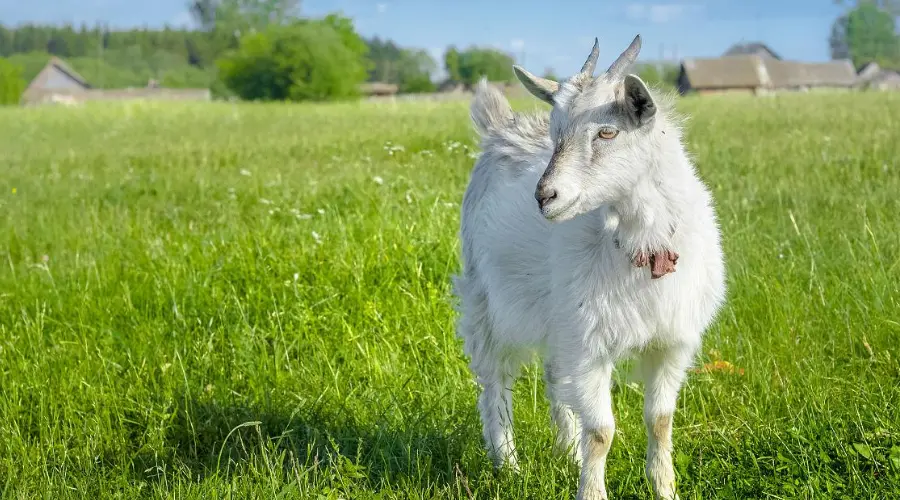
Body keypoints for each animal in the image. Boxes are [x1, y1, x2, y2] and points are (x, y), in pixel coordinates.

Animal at [454, 33, 728, 498]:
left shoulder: (670, 342)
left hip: (557, 315)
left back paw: (566, 453)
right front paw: (592, 490)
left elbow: (660, 421)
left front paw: (665, 489)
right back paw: (508, 465)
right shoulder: (590, 345)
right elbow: (601, 431)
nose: (545, 196)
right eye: (555, 132)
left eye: (607, 131)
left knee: (552, 375)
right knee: (495, 382)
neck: (642, 248)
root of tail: (499, 128)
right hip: (485, 301)